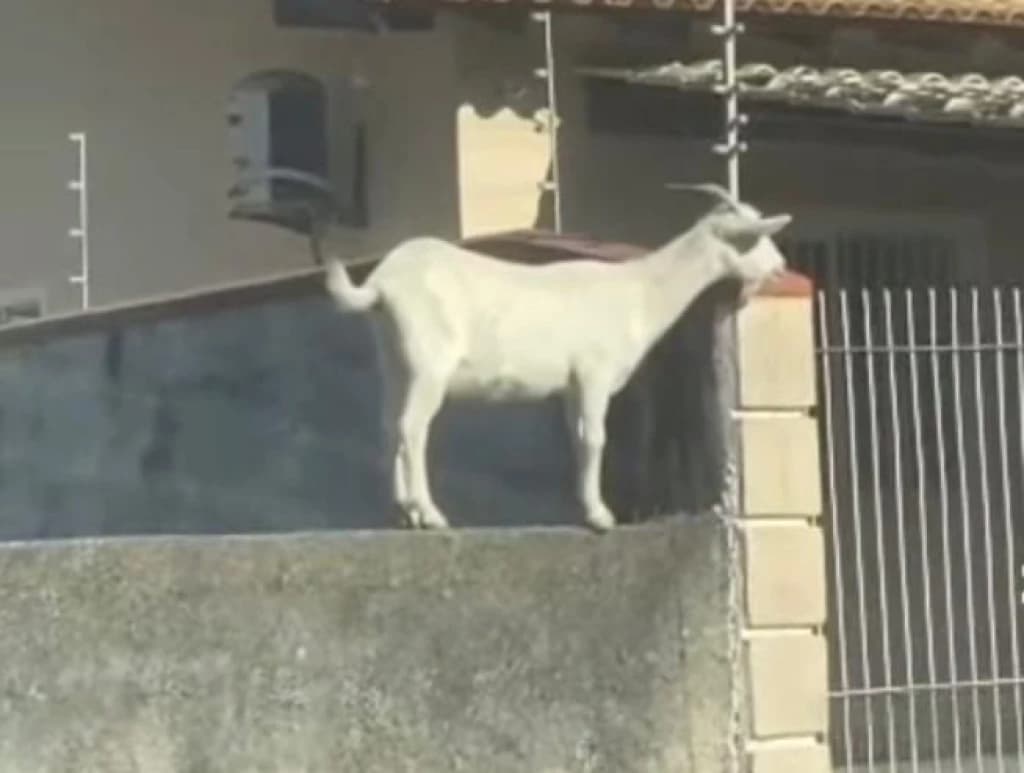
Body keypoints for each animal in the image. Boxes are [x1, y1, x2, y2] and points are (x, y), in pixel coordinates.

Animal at [325, 184, 792, 532]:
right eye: (753, 236)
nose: (782, 266)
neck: (640, 291)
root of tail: (382, 284)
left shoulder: (571, 386)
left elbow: (577, 439)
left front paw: (584, 507)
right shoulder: (594, 373)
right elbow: (596, 438)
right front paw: (601, 517)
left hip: (394, 360)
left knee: (389, 427)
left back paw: (403, 513)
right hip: (429, 364)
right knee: (413, 428)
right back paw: (431, 514)